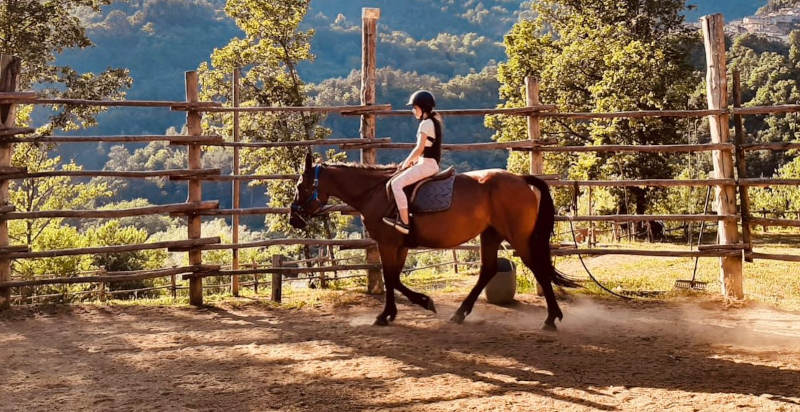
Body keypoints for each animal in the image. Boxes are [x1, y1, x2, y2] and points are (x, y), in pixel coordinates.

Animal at [289, 153, 579, 330]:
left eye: (301, 187)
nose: (294, 219)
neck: (374, 193)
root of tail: (520, 179)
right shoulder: (400, 246)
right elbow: (393, 278)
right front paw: (397, 311)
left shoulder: (388, 243)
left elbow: (390, 278)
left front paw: (398, 310)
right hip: (491, 234)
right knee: (488, 270)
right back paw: (460, 313)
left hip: (517, 237)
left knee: (538, 268)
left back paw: (551, 318)